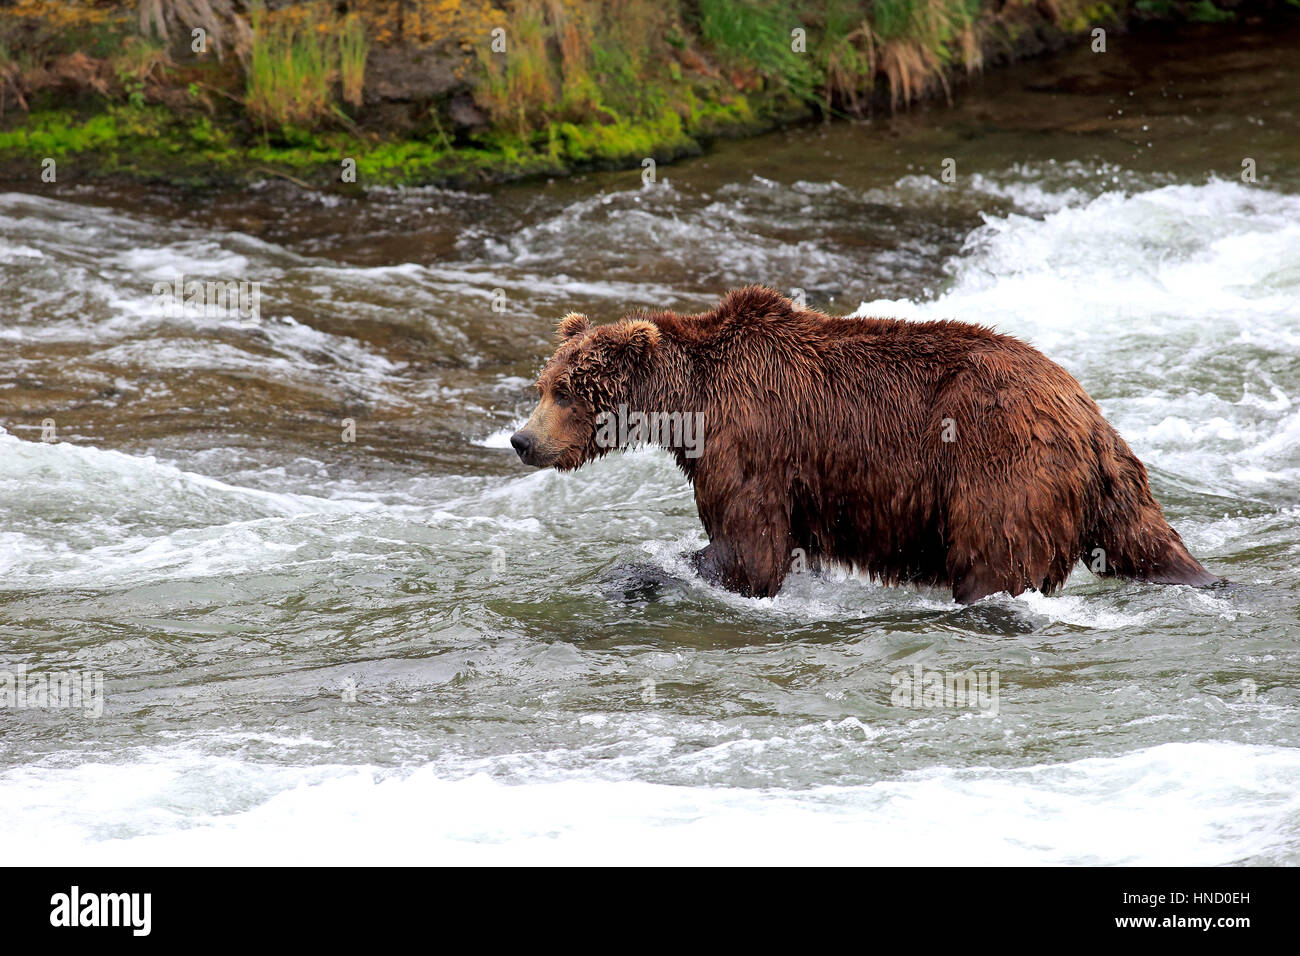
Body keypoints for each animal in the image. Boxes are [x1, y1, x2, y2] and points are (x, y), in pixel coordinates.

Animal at [509, 283, 1216, 600]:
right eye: (543, 384)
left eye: (567, 391)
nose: (520, 440)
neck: (690, 406)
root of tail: (1088, 413)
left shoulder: (750, 445)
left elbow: (748, 552)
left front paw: (635, 573)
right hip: (1110, 488)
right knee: (1147, 542)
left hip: (1000, 463)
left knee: (991, 559)